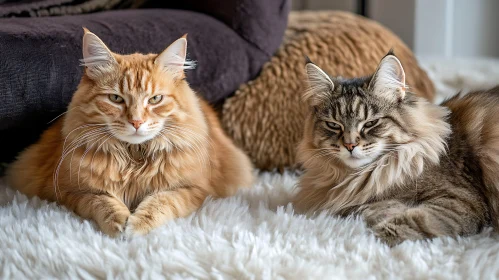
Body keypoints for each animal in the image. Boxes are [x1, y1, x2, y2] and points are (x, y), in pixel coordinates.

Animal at [4, 29, 254, 236]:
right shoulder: (68, 191)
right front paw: (119, 222)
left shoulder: (194, 190)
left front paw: (136, 226)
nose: (136, 121)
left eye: (155, 99)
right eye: (116, 98)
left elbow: (161, 202)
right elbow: (101, 201)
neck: (134, 157)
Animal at [292, 52, 499, 245]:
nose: (350, 145)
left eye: (370, 123)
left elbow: (411, 220)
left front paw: (372, 240)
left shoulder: (460, 201)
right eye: (334, 125)